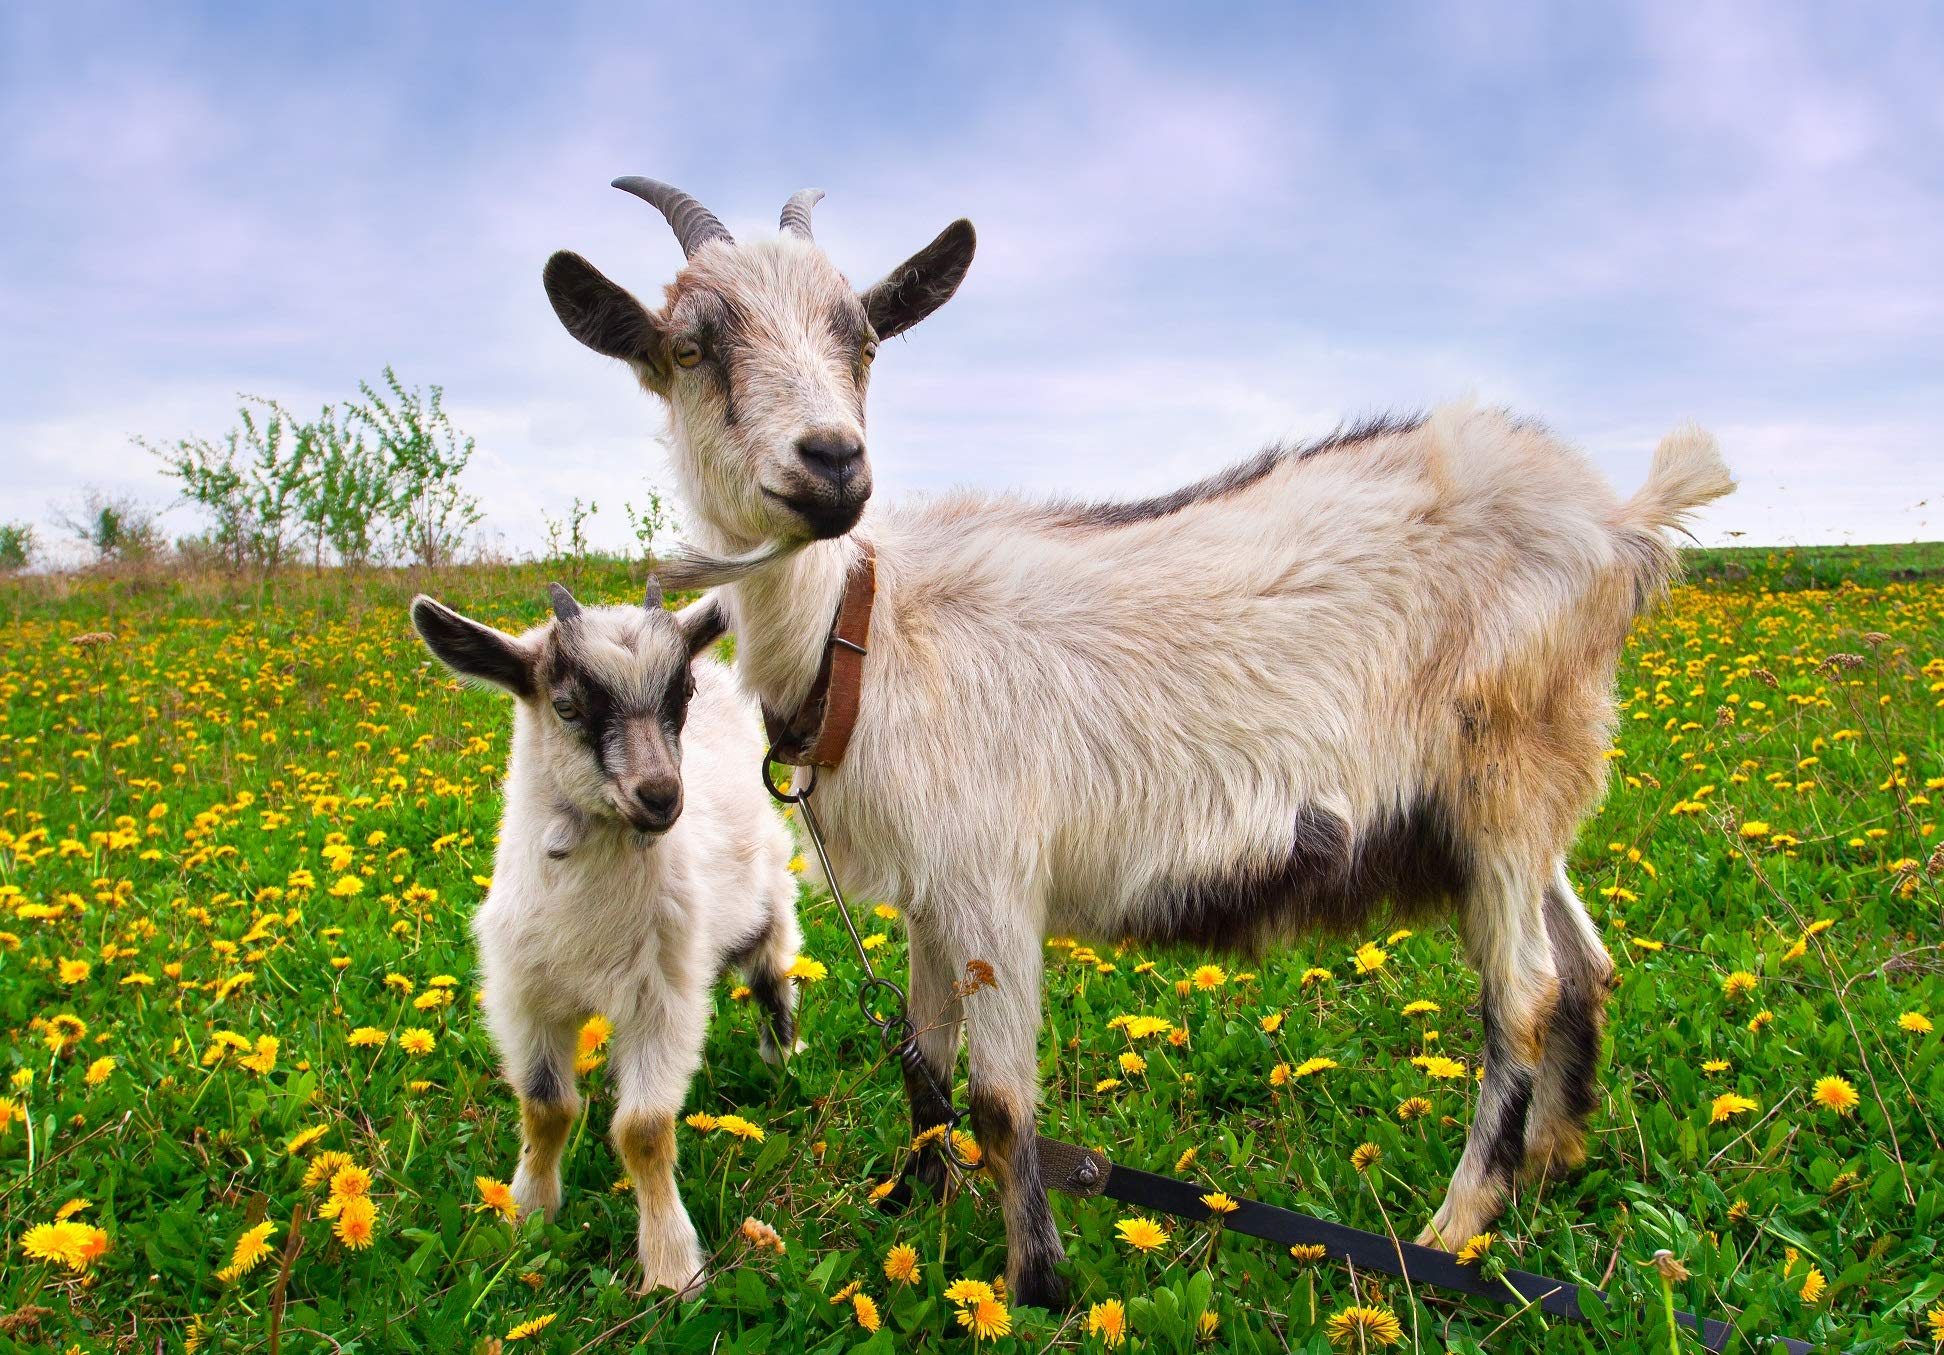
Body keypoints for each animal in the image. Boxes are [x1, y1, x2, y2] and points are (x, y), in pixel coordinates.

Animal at [410, 581, 804, 1298]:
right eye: (566, 705)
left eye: (681, 696)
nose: (661, 796)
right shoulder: (525, 995)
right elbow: (546, 1107)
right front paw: (527, 1214)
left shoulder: (662, 996)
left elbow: (643, 1130)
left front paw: (672, 1270)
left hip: (764, 891)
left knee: (770, 969)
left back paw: (781, 1055)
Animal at [539, 179, 1736, 1308]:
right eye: (691, 346)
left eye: (863, 337)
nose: (831, 463)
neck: (868, 629)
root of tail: (1620, 524)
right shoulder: (929, 894)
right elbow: (924, 1060)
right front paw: (912, 1204)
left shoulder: (993, 879)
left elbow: (999, 1100)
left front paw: (1037, 1285)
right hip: (1519, 800)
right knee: (1583, 962)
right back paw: (1549, 1165)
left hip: (1505, 772)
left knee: (1523, 991)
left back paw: (1455, 1224)